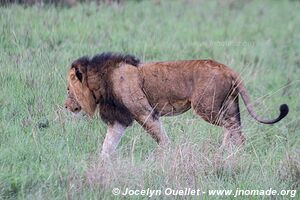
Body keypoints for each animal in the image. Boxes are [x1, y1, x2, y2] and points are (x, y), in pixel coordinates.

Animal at [64, 52, 290, 157]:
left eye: (68, 90)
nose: (66, 106)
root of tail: (227, 68)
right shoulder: (119, 119)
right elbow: (108, 144)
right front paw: (101, 163)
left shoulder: (144, 112)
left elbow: (161, 137)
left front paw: (166, 155)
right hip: (229, 105)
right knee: (236, 128)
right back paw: (227, 153)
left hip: (205, 107)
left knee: (232, 127)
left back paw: (227, 153)